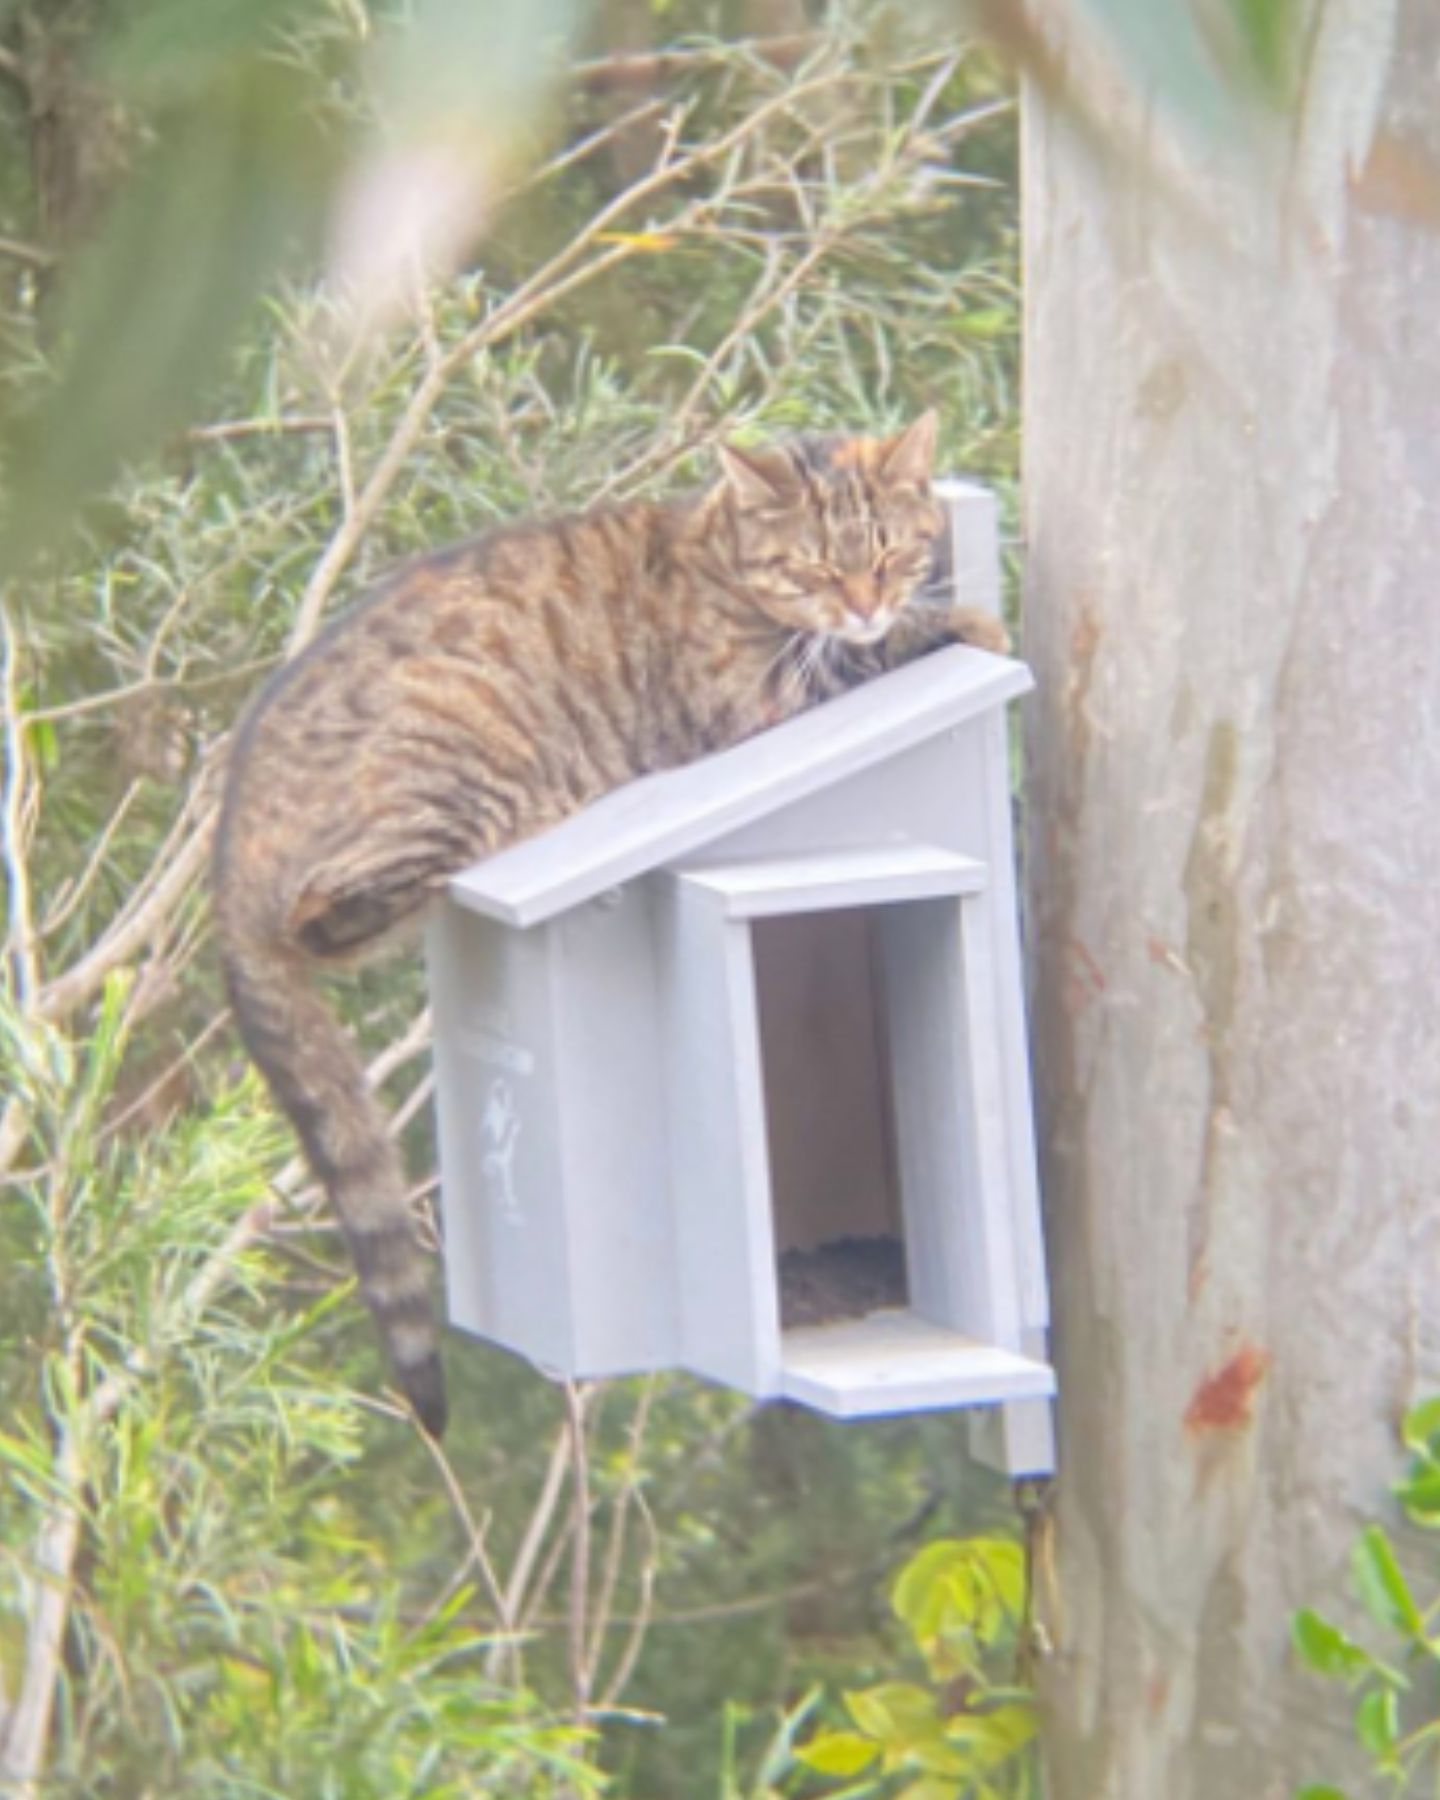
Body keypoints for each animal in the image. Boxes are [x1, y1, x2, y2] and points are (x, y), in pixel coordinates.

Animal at [214, 408, 1008, 1432]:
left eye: (886, 550)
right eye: (815, 567)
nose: (866, 601)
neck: (717, 553)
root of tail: (226, 854)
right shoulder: (759, 699)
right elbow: (864, 662)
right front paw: (957, 623)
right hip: (441, 776)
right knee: (326, 912)